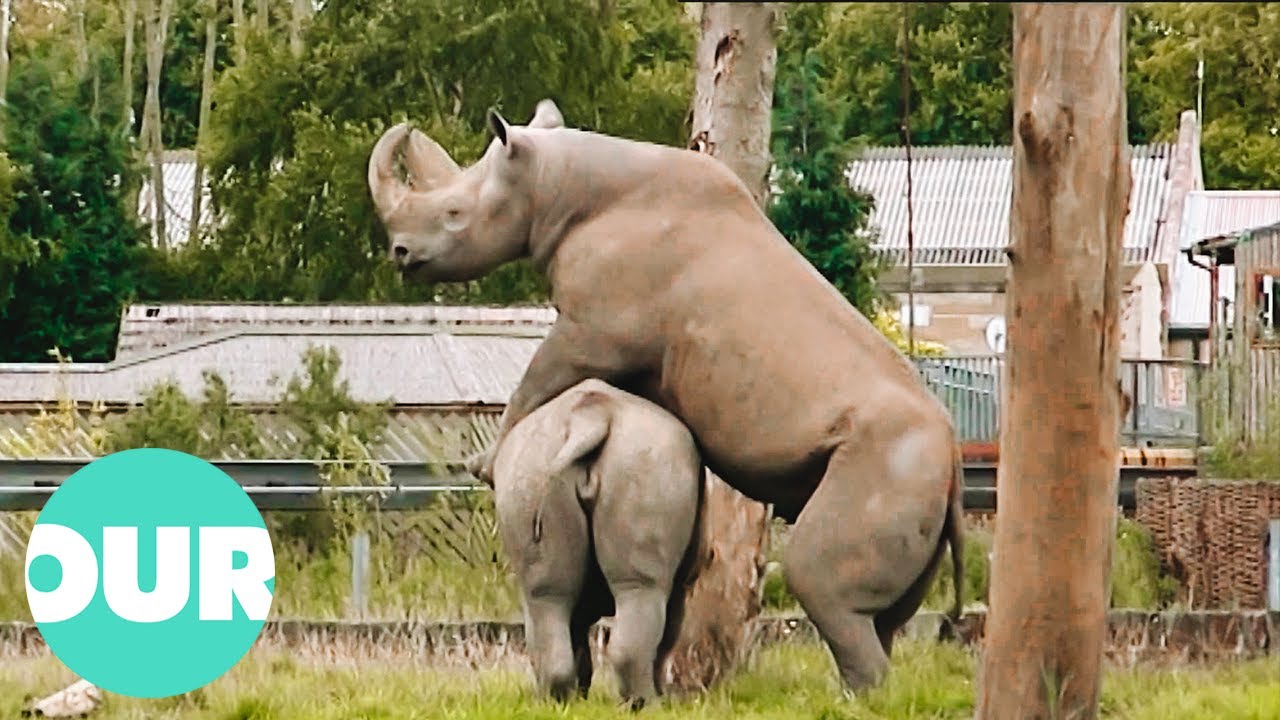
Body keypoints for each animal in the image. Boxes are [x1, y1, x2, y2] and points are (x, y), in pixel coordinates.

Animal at [492, 378, 702, 708]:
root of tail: (589, 419)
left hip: (530, 466)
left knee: (546, 596)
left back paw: (556, 700)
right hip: (645, 465)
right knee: (642, 587)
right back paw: (646, 704)